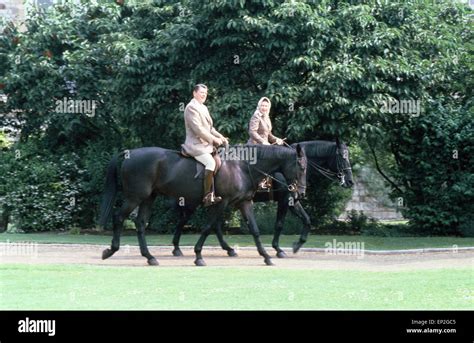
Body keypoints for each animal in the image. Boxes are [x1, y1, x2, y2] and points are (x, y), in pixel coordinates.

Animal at [99, 144, 308, 268]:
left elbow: (255, 230)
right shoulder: (222, 203)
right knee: (119, 217)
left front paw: (266, 256)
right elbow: (208, 228)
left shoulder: (244, 203)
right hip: (136, 197)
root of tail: (130, 153)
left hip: (149, 198)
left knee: (141, 224)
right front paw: (198, 255)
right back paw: (111, 250)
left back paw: (150, 257)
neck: (241, 166)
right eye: (301, 167)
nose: (300, 193)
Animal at [169, 139, 352, 258]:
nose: (350, 181)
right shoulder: (286, 200)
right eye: (342, 157)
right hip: (198, 202)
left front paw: (297, 245)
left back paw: (228, 249)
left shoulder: (293, 200)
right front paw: (278, 249)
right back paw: (177, 248)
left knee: (214, 225)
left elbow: (307, 220)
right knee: (185, 220)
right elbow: (279, 224)